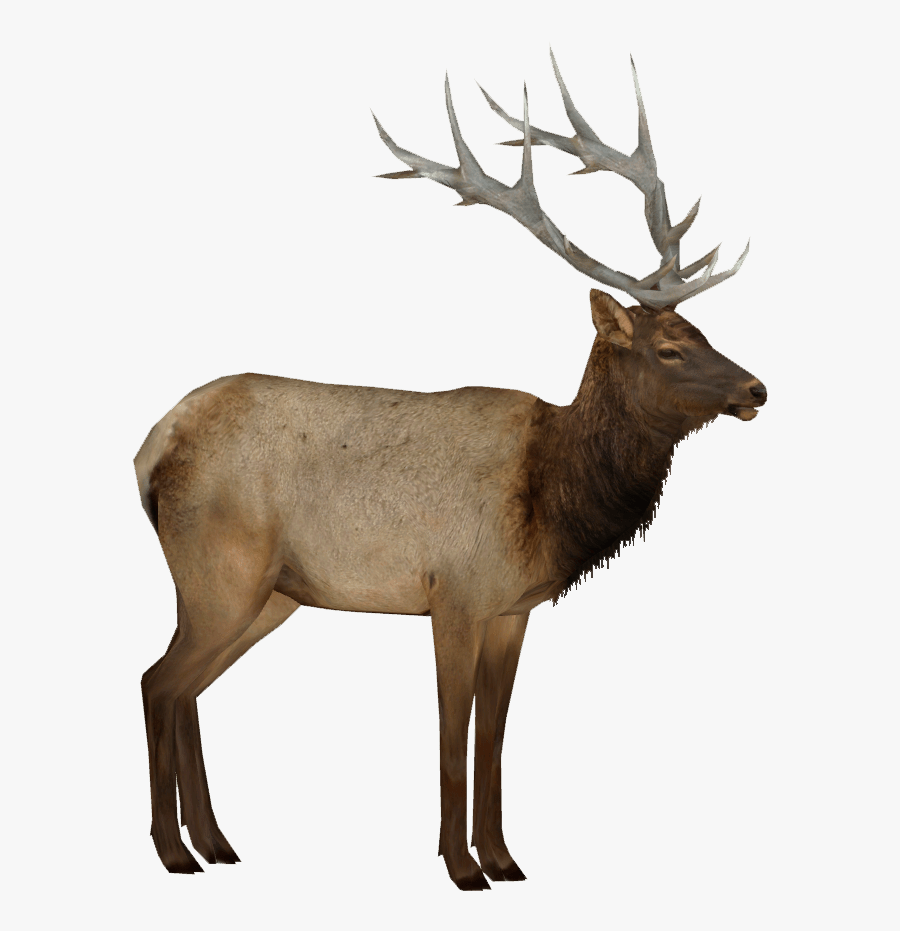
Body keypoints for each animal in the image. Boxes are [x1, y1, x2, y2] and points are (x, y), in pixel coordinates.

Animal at [136, 50, 766, 891]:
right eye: (668, 349)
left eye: (704, 331)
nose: (757, 389)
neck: (550, 498)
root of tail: (152, 444)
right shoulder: (456, 594)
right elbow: (452, 732)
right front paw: (461, 866)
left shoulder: (512, 609)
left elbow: (494, 733)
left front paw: (505, 857)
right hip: (222, 574)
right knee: (158, 681)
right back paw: (175, 850)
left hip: (264, 595)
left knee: (187, 687)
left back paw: (216, 841)